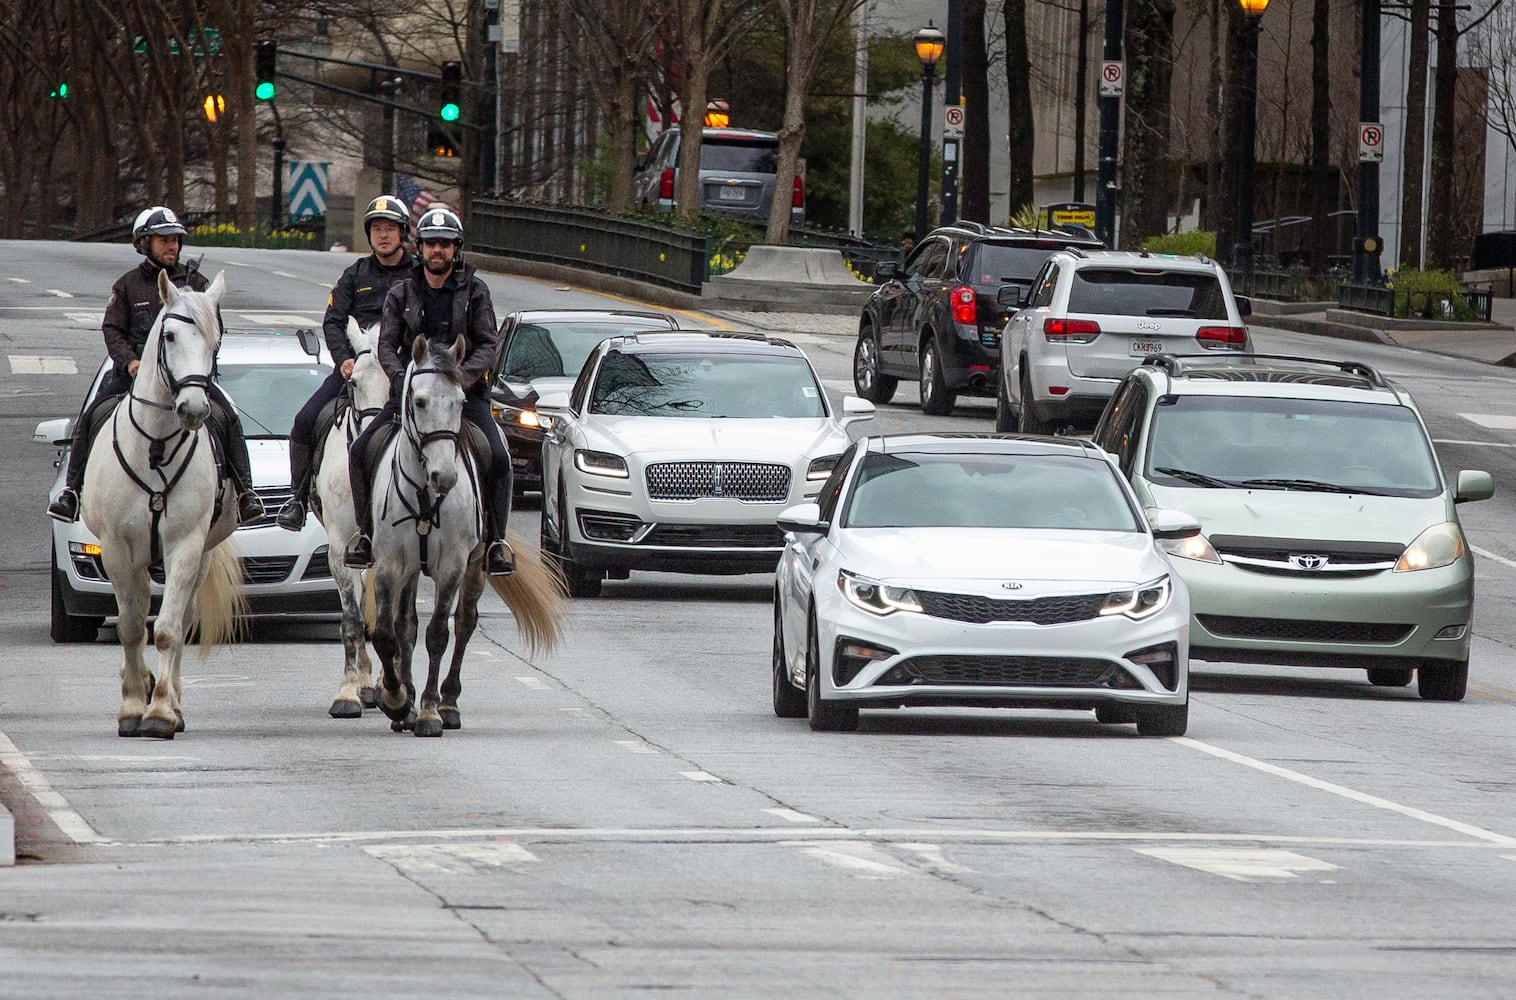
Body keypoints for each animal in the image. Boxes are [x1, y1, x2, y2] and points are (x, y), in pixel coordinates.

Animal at [81, 269, 247, 739]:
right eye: (169, 336)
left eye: (215, 340)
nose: (193, 408)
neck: (154, 446)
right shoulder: (116, 550)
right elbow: (130, 627)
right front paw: (132, 707)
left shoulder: (185, 546)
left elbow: (169, 629)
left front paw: (158, 712)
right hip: (134, 559)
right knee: (135, 612)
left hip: (201, 554)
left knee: (183, 616)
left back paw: (171, 699)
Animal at [366, 336, 570, 733]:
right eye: (419, 401)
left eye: (460, 402)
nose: (444, 476)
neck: (425, 494)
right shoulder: (389, 563)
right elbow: (387, 633)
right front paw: (397, 700)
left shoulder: (453, 565)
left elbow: (438, 634)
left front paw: (429, 711)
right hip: (410, 569)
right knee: (406, 625)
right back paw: (407, 700)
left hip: (476, 563)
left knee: (463, 624)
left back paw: (448, 703)